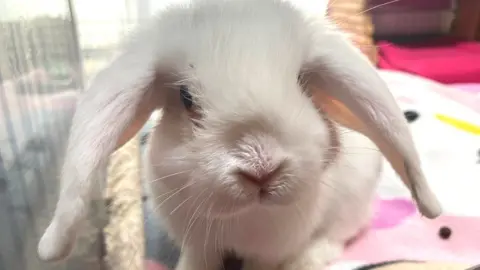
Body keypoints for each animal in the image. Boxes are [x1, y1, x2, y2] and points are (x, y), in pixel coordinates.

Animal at [37, 0, 442, 268]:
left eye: (302, 83)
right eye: (186, 97)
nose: (261, 169)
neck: (245, 217)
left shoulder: (271, 251)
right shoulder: (199, 244)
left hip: (352, 203)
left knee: (338, 236)